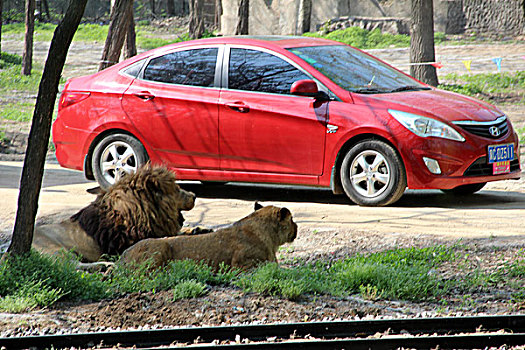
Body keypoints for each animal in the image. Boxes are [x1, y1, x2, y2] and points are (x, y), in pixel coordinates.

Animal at [32, 165, 196, 262]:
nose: (194, 195)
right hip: (55, 250)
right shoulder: (127, 242)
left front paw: (196, 229)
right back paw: (106, 266)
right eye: (176, 189)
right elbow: (172, 237)